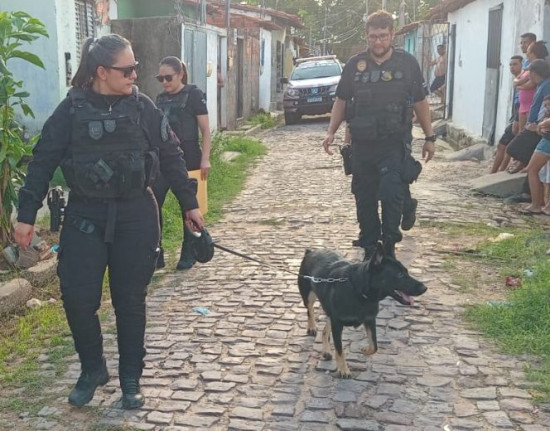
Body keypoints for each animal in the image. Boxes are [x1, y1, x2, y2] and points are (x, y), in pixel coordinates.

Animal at [300, 243, 430, 378]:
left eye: (407, 272)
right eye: (399, 274)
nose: (424, 288)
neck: (359, 291)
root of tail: (311, 251)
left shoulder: (370, 320)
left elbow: (374, 345)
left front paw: (365, 350)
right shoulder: (337, 324)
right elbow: (339, 349)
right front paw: (343, 369)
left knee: (325, 330)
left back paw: (326, 350)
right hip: (308, 295)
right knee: (310, 310)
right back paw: (312, 327)